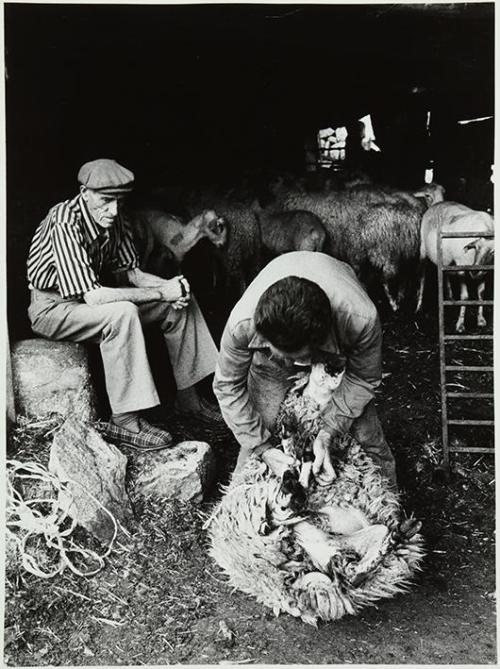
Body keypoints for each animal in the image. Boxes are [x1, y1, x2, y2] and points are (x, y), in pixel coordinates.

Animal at [416, 201, 494, 332]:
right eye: (476, 247)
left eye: (493, 252)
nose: (474, 272)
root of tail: (438, 203)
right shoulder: (461, 267)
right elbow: (465, 297)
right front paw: (460, 324)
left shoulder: (483, 272)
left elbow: (481, 294)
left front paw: (480, 319)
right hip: (423, 250)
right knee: (422, 278)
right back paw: (419, 307)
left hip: (445, 260)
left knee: (445, 274)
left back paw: (451, 298)